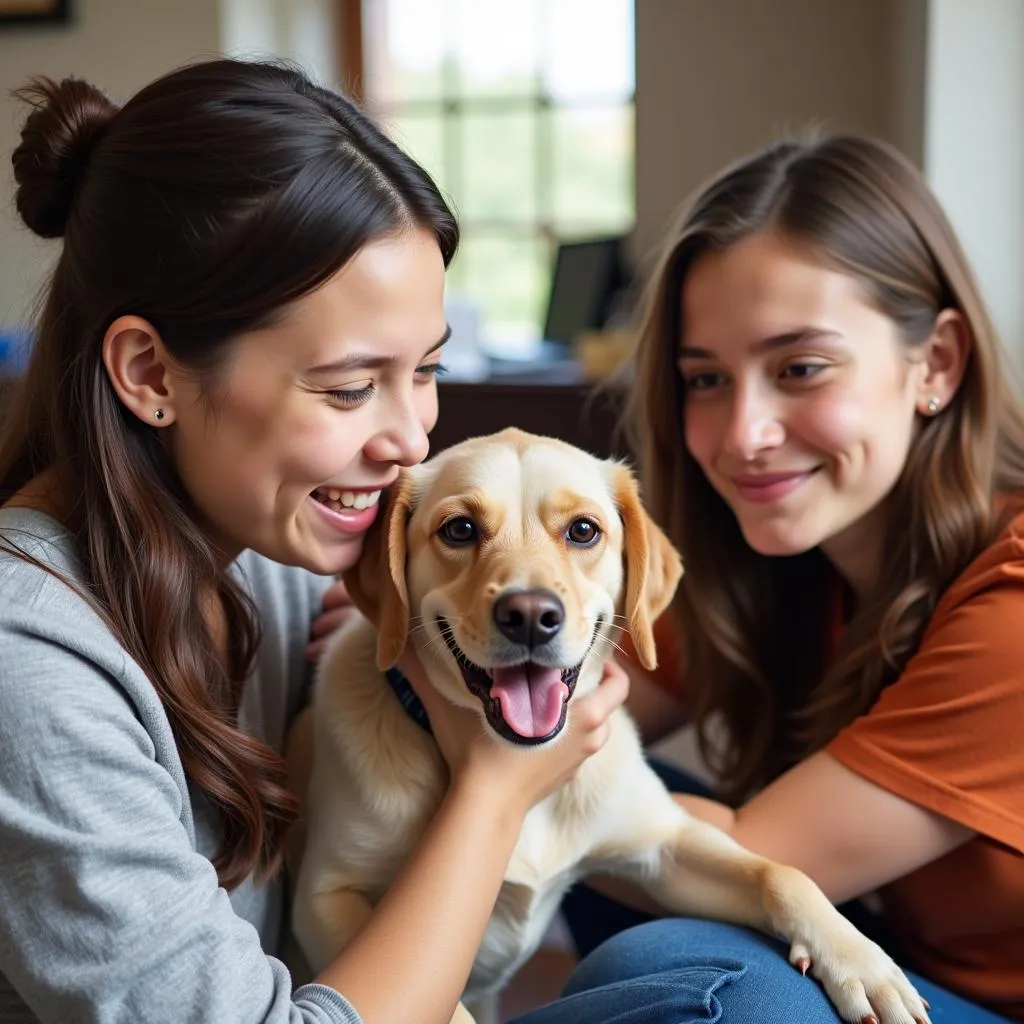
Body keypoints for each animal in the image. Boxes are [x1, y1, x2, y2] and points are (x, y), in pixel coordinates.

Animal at [290, 428, 929, 1024]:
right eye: (460, 530)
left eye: (582, 531)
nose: (530, 616)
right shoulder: (327, 898)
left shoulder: (666, 846)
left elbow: (781, 873)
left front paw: (862, 963)